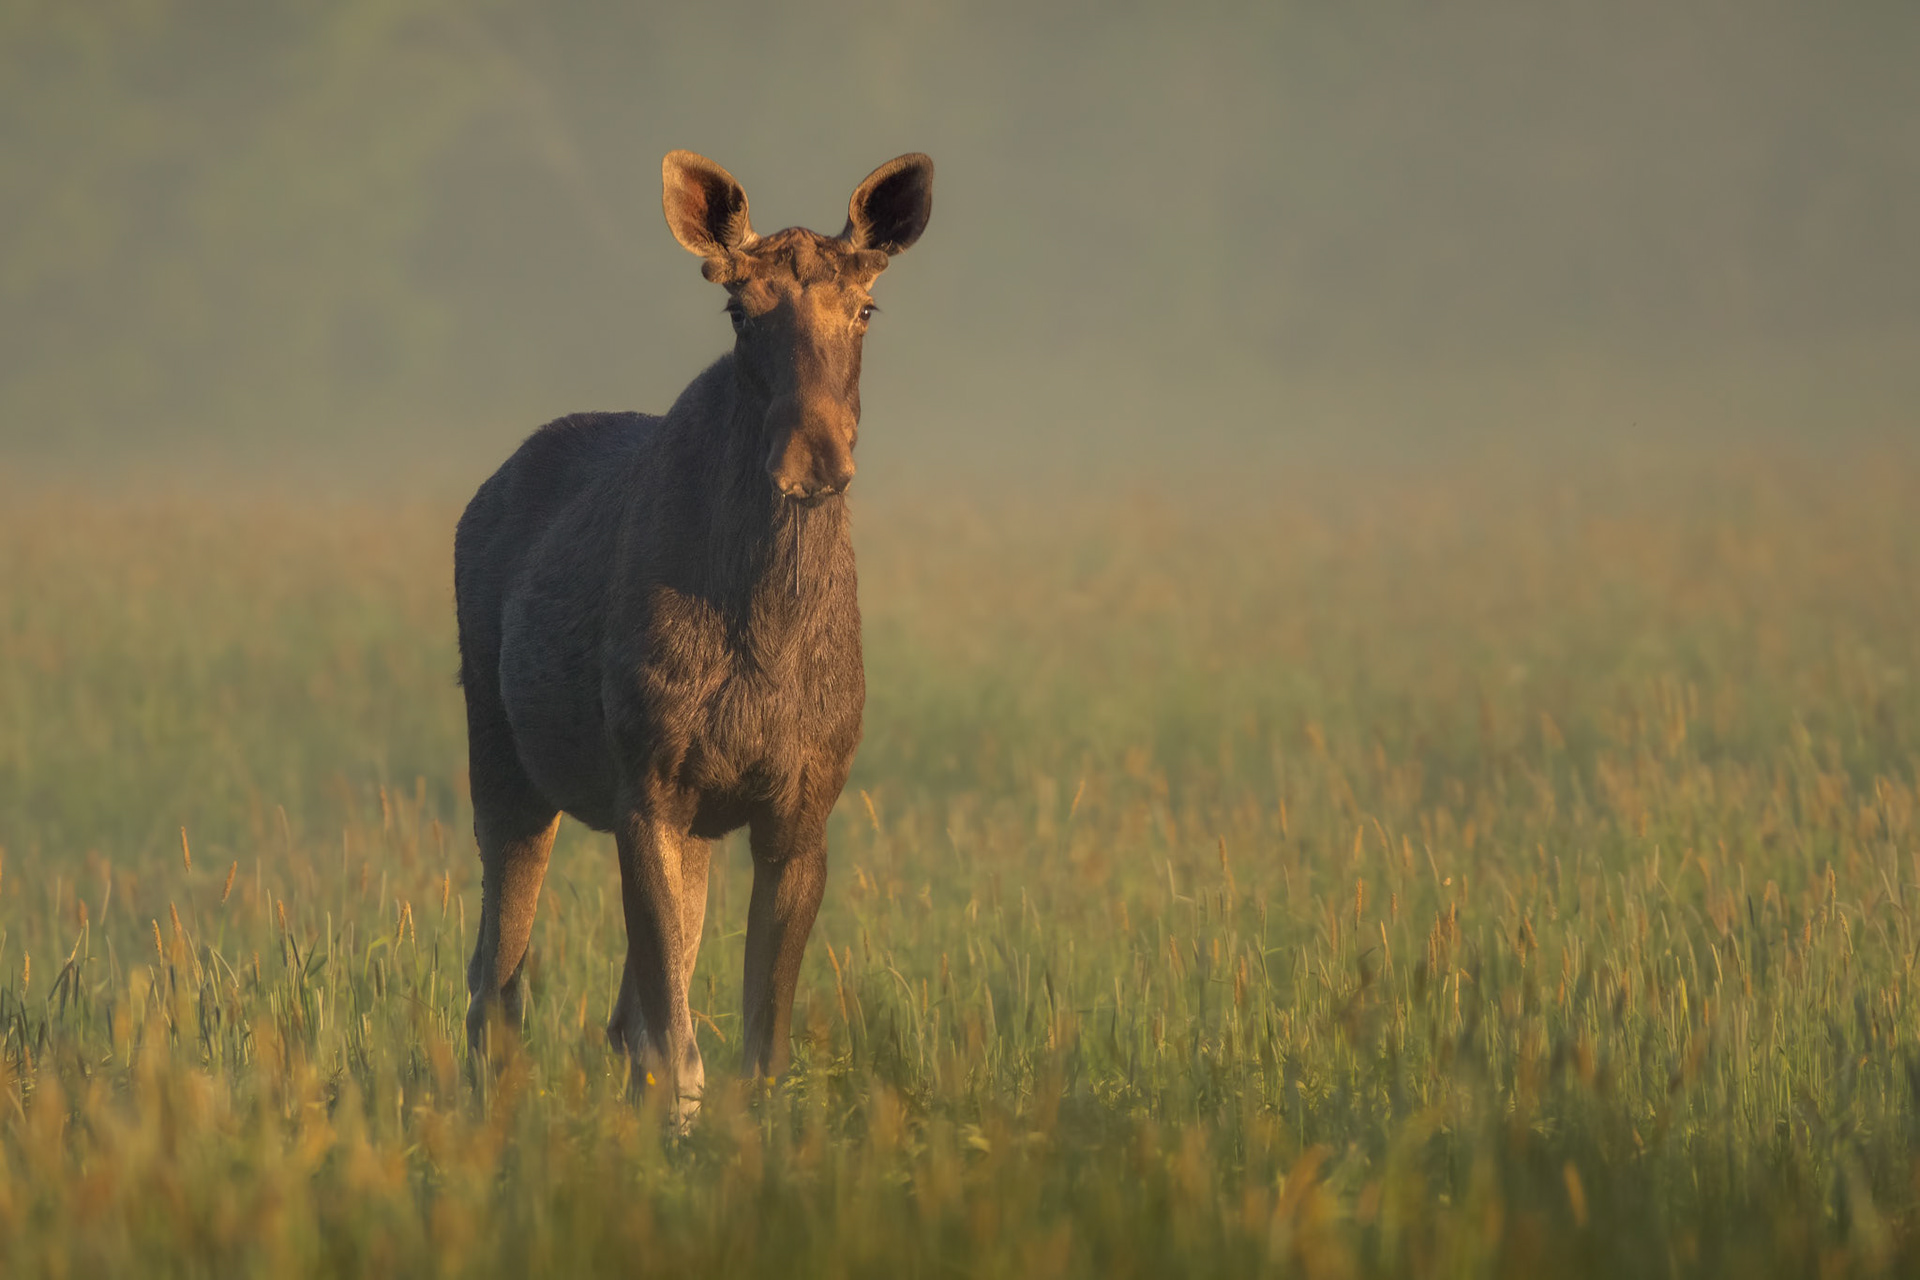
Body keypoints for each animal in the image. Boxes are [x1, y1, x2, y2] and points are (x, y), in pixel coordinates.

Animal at [453, 150, 932, 1118]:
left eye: (865, 308)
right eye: (740, 312)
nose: (813, 459)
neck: (768, 636)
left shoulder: (800, 809)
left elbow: (759, 1048)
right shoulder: (646, 786)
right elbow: (678, 1050)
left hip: (694, 827)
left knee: (600, 1011)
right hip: (505, 764)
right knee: (495, 983)